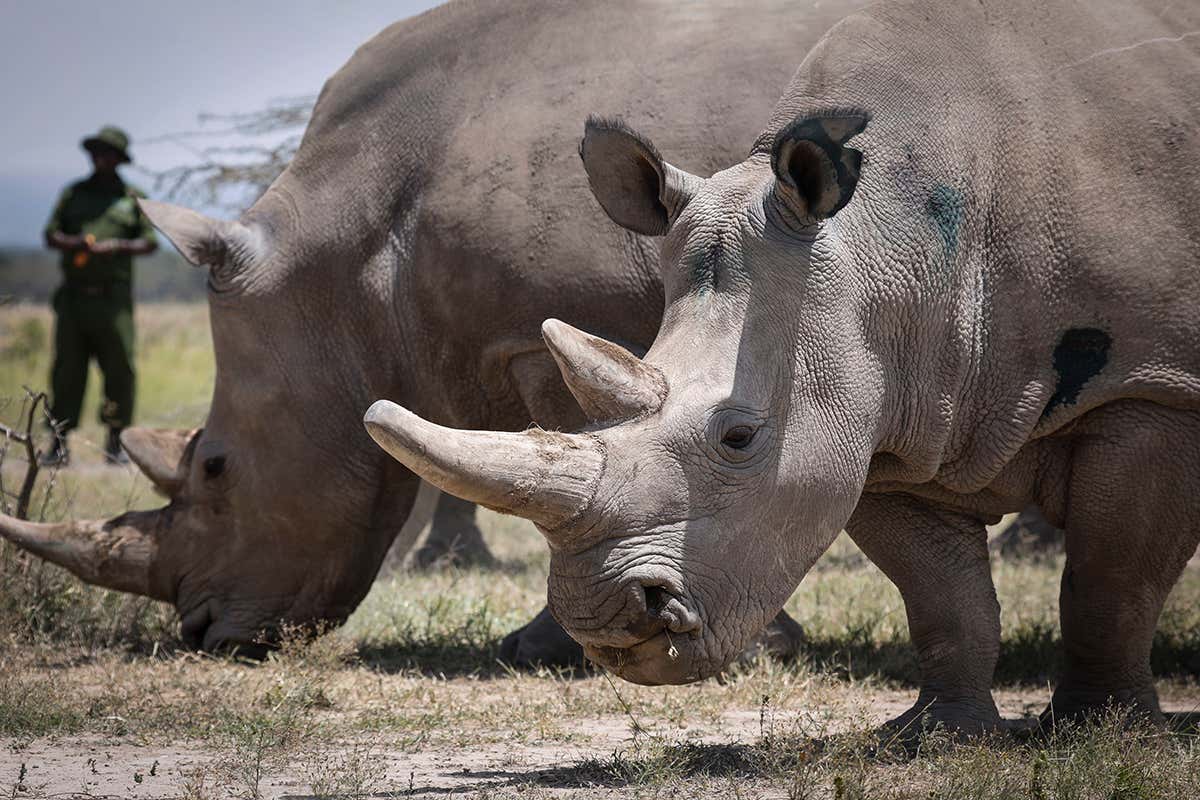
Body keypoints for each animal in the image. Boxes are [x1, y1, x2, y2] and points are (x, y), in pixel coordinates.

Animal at [0, 0, 871, 662]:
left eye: (215, 467)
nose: (202, 632)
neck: (346, 263)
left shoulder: (562, 327)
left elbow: (597, 466)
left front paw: (552, 648)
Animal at [366, 0, 1200, 731]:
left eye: (739, 438)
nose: (604, 620)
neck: (891, 238)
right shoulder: (882, 414)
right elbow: (943, 595)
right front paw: (937, 735)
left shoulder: (1153, 390)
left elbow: (1109, 582)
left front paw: (1101, 730)